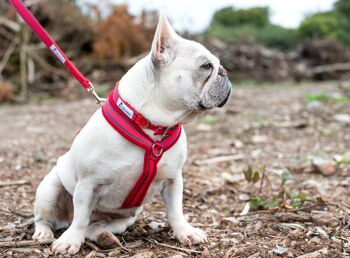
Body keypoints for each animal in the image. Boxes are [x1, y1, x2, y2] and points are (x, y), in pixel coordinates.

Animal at [32, 13, 230, 255]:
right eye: (206, 66)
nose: (224, 72)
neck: (153, 127)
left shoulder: (173, 178)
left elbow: (175, 210)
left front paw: (185, 232)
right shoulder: (88, 184)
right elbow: (80, 217)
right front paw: (70, 241)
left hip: (124, 219)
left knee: (92, 226)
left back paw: (105, 237)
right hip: (49, 189)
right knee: (52, 219)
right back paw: (44, 233)